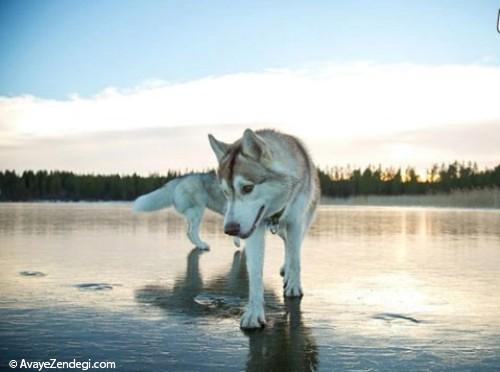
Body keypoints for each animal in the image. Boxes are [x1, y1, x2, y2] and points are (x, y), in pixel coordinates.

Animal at [208, 129, 320, 328]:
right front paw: (254, 313)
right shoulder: (255, 229)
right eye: (225, 193)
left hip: (302, 223)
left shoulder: (296, 223)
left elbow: (295, 259)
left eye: (247, 188)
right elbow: (255, 274)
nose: (230, 229)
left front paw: (294, 285)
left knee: (294, 248)